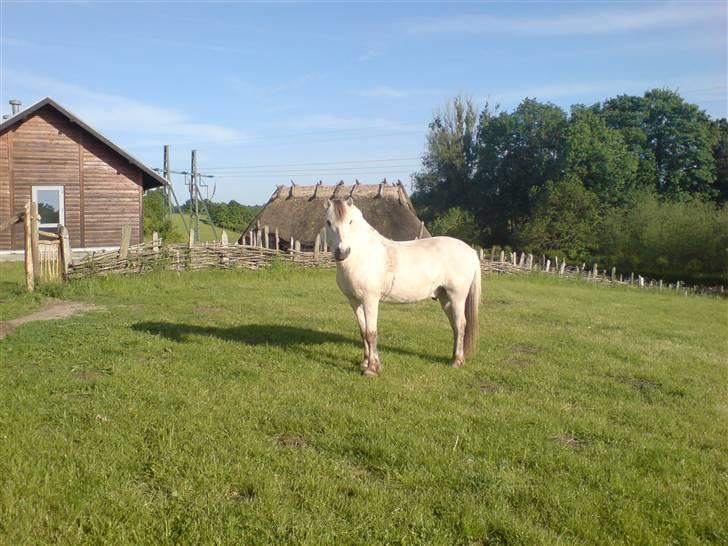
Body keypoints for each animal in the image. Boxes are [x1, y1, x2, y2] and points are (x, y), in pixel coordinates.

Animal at [326, 198, 484, 376]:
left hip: (457, 297)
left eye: (350, 221)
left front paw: (372, 369)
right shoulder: (354, 301)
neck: (362, 256)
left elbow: (371, 333)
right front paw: (365, 362)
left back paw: (457, 361)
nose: (342, 252)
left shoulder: (370, 300)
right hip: (445, 298)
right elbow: (363, 331)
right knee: (455, 326)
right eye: (328, 222)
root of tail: (471, 251)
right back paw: (454, 359)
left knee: (460, 324)